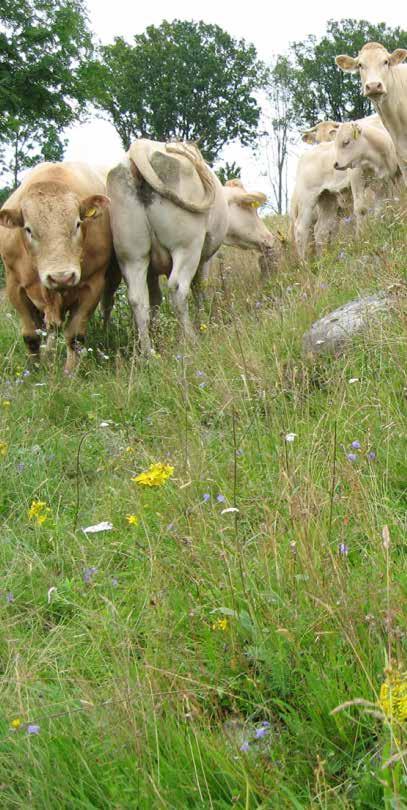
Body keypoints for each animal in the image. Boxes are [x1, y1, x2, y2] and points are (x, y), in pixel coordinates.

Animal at [0, 163, 118, 370]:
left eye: (78, 224)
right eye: (28, 229)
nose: (61, 277)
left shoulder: (93, 286)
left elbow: (75, 336)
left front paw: (70, 371)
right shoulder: (15, 286)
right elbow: (31, 336)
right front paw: (34, 370)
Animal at [107, 140, 278, 354]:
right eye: (251, 209)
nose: (269, 238)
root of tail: (140, 147)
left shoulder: (150, 271)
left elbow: (154, 300)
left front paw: (157, 333)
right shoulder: (205, 257)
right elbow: (200, 288)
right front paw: (204, 321)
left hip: (132, 256)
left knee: (137, 300)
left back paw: (148, 352)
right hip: (187, 248)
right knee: (178, 288)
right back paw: (190, 339)